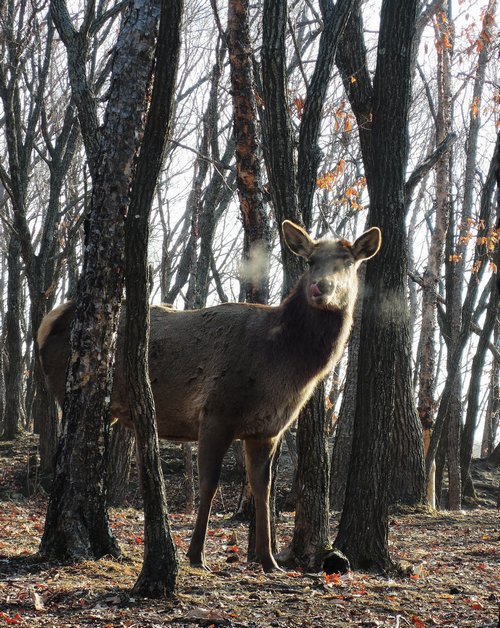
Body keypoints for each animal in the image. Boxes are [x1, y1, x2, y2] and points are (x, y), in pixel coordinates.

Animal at [37, 221, 380, 576]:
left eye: (348, 261)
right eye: (311, 261)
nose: (319, 287)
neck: (283, 366)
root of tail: (46, 322)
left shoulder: (267, 430)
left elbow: (263, 489)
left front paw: (269, 561)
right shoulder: (217, 411)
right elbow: (209, 485)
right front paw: (195, 555)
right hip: (67, 390)